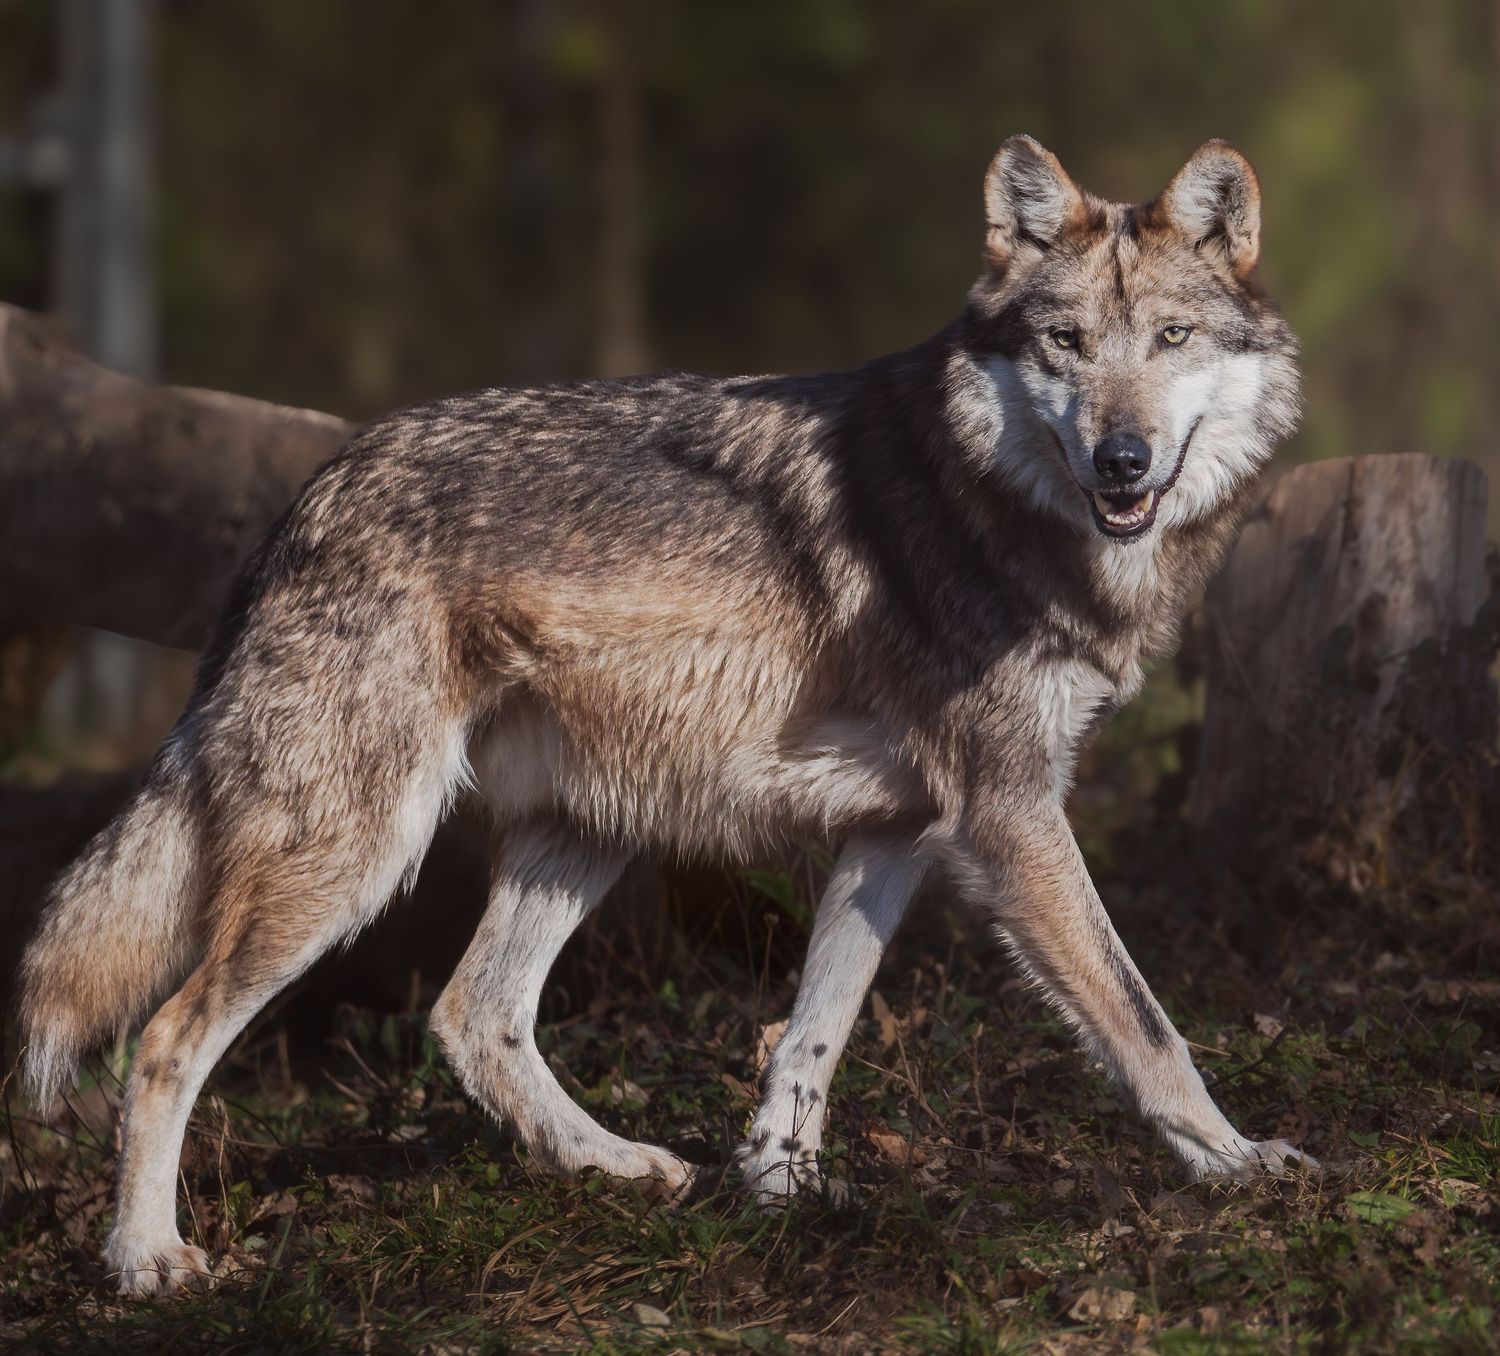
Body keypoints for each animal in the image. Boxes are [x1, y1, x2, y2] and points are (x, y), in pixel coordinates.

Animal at [19, 136, 1311, 1294]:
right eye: (1066, 344)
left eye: (1173, 339)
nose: (1122, 461)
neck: (992, 501)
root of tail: (308, 497)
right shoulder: (1009, 817)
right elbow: (1144, 1021)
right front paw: (1237, 1164)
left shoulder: (900, 830)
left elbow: (813, 1032)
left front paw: (782, 1193)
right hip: (356, 857)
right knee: (170, 1039)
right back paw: (146, 1261)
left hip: (584, 830)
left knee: (472, 1015)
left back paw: (620, 1168)